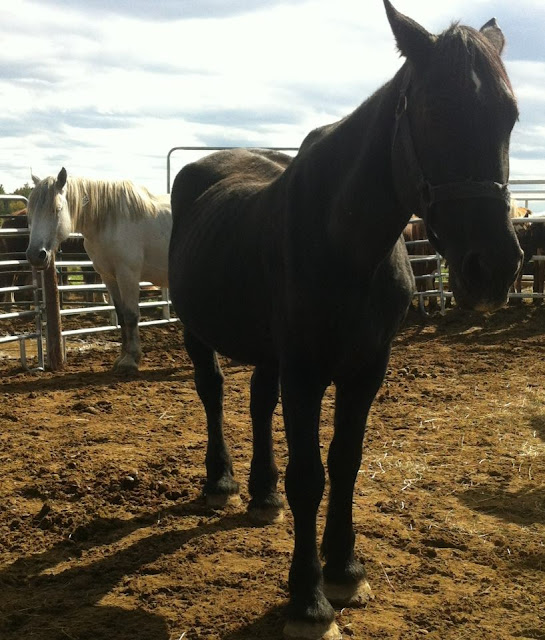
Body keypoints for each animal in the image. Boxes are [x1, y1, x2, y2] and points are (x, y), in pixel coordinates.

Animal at [26, 169, 172, 371]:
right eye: (31, 212)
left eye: (56, 209)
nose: (35, 255)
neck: (110, 221)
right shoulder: (109, 276)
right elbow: (121, 315)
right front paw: (122, 357)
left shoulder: (128, 275)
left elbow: (131, 315)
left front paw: (131, 359)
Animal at [168, 3, 522, 638]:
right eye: (434, 110)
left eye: (509, 117)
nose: (495, 268)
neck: (348, 241)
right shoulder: (307, 373)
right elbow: (310, 476)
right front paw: (308, 598)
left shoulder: (365, 369)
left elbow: (346, 462)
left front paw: (345, 569)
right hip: (198, 330)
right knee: (212, 391)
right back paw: (222, 481)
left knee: (258, 401)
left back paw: (262, 494)